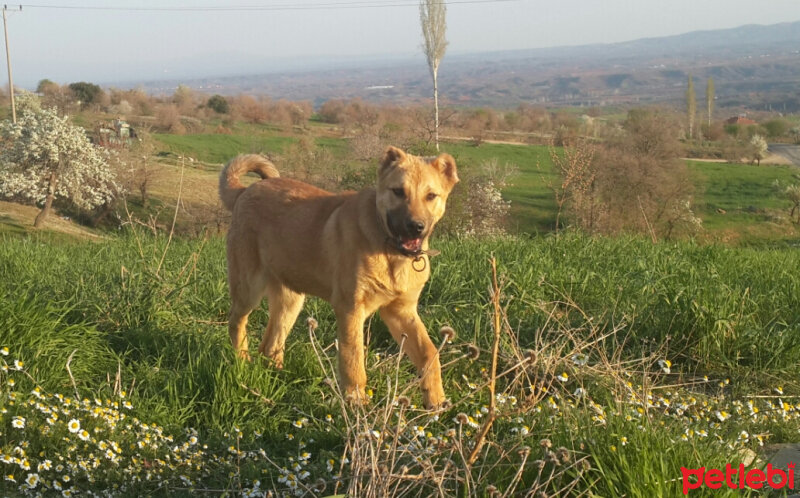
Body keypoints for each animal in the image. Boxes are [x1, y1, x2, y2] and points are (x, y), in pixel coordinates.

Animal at [219, 145, 456, 408]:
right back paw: (242, 363)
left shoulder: (401, 312)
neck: (387, 246)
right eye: (398, 191)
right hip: (248, 288)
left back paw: (276, 377)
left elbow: (429, 353)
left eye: (431, 196)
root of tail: (244, 191)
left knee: (270, 344)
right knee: (236, 322)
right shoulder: (350, 308)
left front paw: (436, 401)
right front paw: (356, 402)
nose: (415, 227)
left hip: (290, 301)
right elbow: (353, 358)